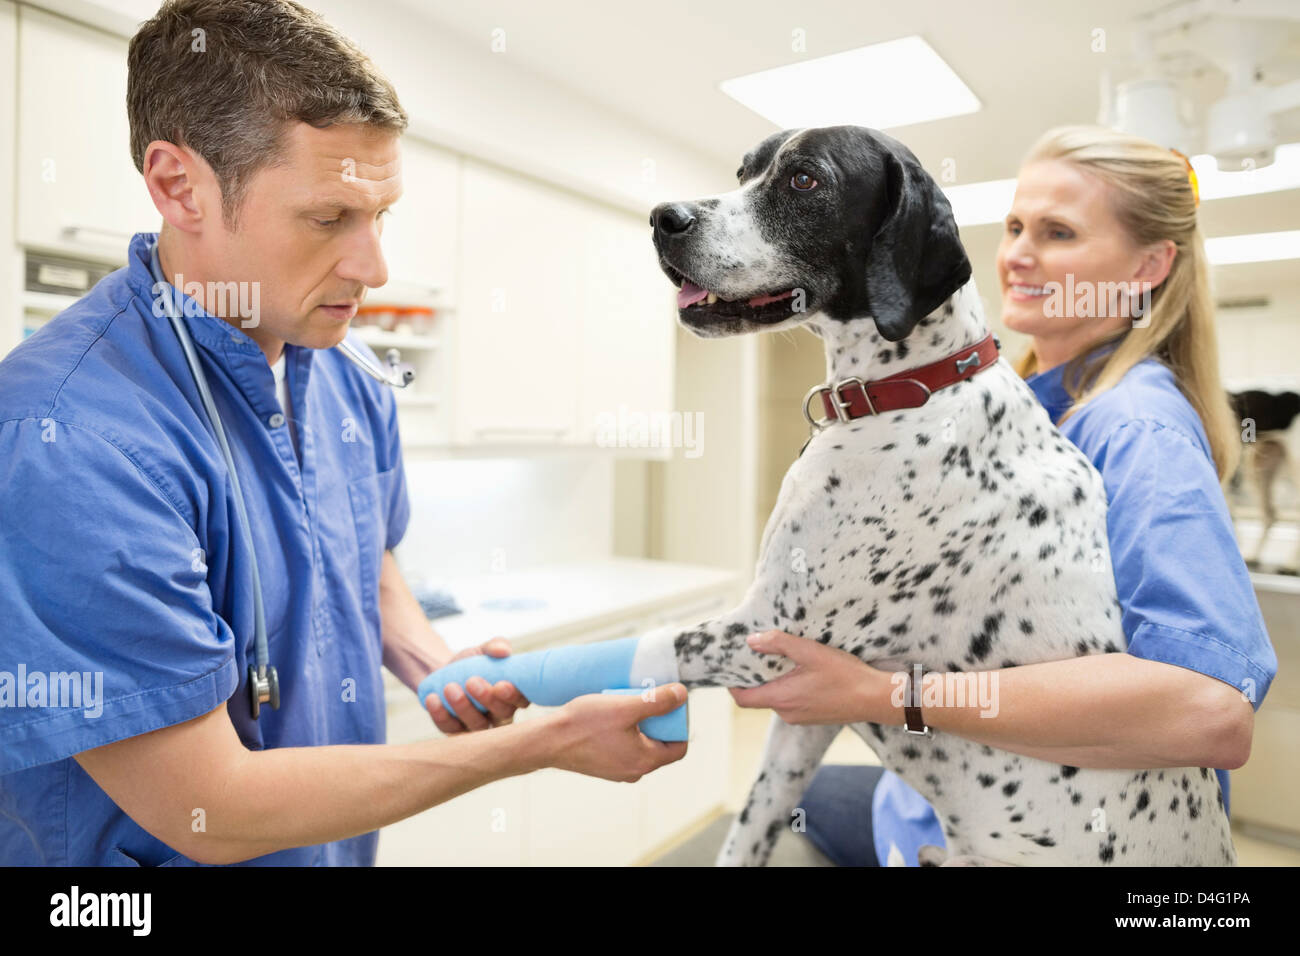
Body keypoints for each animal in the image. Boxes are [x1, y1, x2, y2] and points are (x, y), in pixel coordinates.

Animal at [637, 125, 1237, 868]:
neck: (910, 387)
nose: (662, 217)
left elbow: (645, 645)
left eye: (805, 180)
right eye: (744, 171)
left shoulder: (772, 634)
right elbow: (751, 826)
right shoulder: (803, 720)